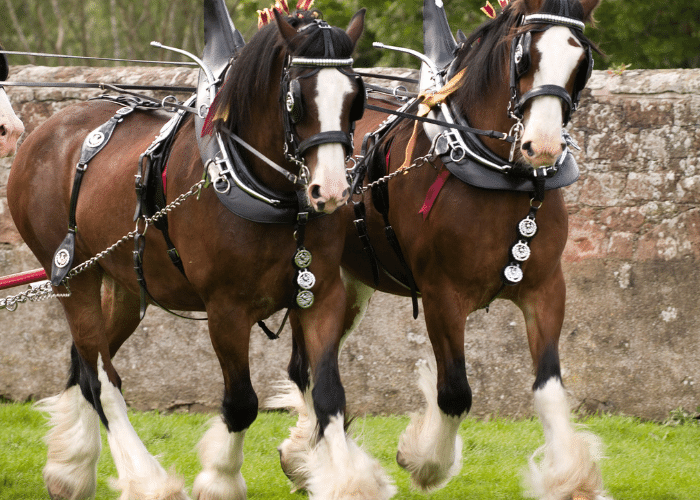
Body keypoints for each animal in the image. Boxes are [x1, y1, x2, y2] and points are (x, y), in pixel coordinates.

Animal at [5, 7, 386, 500]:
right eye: (297, 100)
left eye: (356, 99)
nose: (333, 191)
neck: (262, 186)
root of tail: (43, 132)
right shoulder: (225, 308)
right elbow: (241, 402)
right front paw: (220, 478)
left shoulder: (319, 295)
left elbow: (328, 393)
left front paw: (349, 481)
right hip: (73, 277)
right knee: (100, 377)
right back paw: (145, 480)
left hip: (124, 282)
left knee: (83, 361)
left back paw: (69, 469)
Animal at [278, 0, 608, 500]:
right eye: (523, 56)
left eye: (581, 62)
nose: (544, 146)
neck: (500, 176)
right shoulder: (441, 296)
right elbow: (454, 391)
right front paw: (425, 461)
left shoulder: (546, 288)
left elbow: (549, 387)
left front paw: (570, 478)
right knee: (307, 370)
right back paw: (320, 462)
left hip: (351, 286)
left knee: (312, 365)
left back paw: (304, 455)